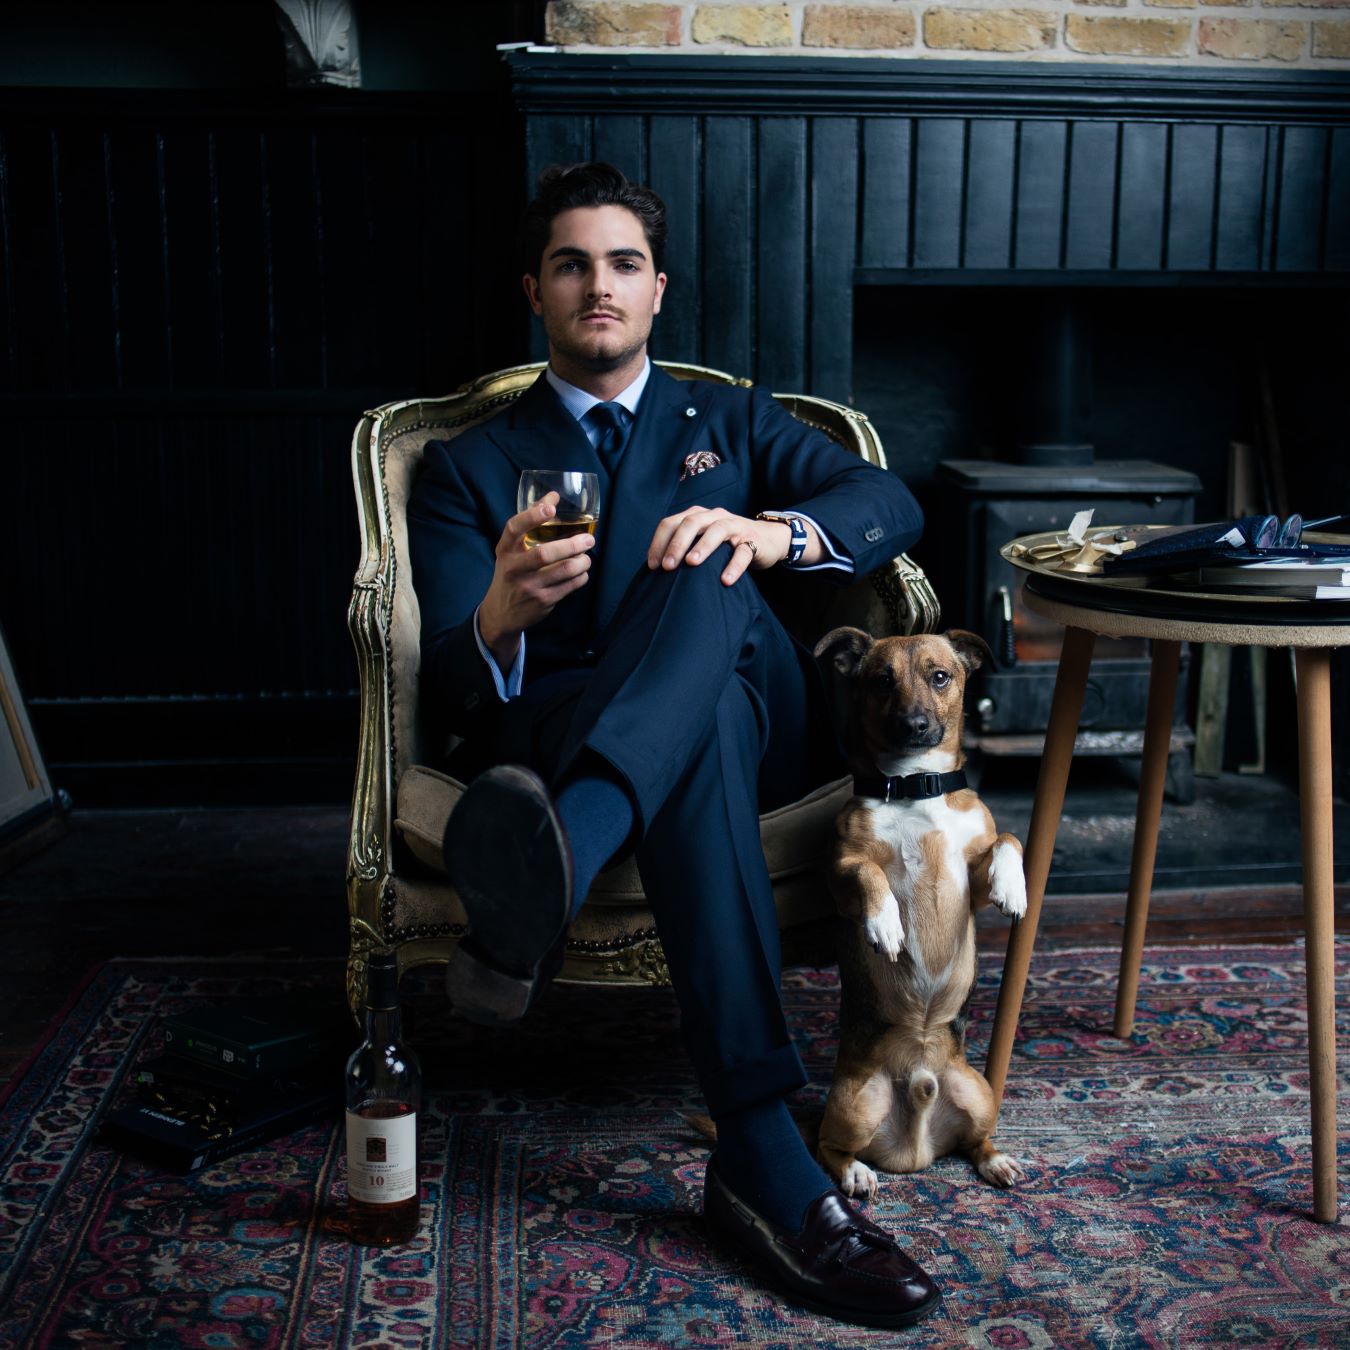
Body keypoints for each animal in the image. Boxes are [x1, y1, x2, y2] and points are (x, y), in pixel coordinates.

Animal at [804, 626, 1026, 1198]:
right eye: (882, 681)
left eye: (940, 676)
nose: (914, 725)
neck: (914, 787)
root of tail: (917, 1152)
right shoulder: (839, 876)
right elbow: (870, 873)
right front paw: (885, 925)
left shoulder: (971, 883)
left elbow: (1008, 840)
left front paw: (1013, 888)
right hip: (855, 1106)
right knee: (827, 1148)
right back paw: (856, 1174)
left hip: (980, 1094)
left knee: (975, 1142)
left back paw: (997, 1162)